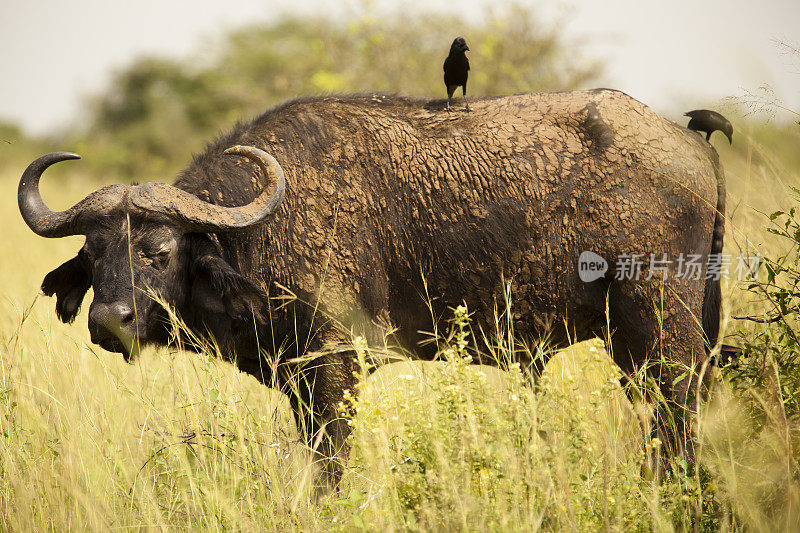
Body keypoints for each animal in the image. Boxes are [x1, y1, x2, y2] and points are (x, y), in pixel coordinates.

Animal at [21, 90, 728, 486]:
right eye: (93, 254)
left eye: (158, 250)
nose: (109, 321)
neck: (258, 231)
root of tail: (687, 141)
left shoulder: (335, 368)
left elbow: (330, 461)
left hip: (662, 325)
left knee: (680, 412)